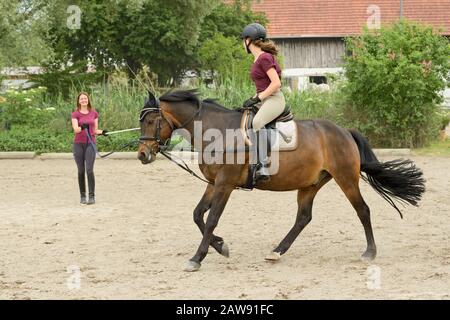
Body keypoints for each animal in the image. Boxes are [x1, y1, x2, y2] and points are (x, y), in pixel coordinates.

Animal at [137, 89, 426, 272]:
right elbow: (198, 215)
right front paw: (221, 246)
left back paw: (369, 252)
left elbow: (211, 220)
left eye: (151, 120)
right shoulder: (213, 183)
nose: (142, 154)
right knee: (303, 218)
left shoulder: (225, 184)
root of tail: (344, 131)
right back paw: (277, 251)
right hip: (310, 184)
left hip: (345, 178)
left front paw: (197, 258)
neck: (216, 132)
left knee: (362, 210)